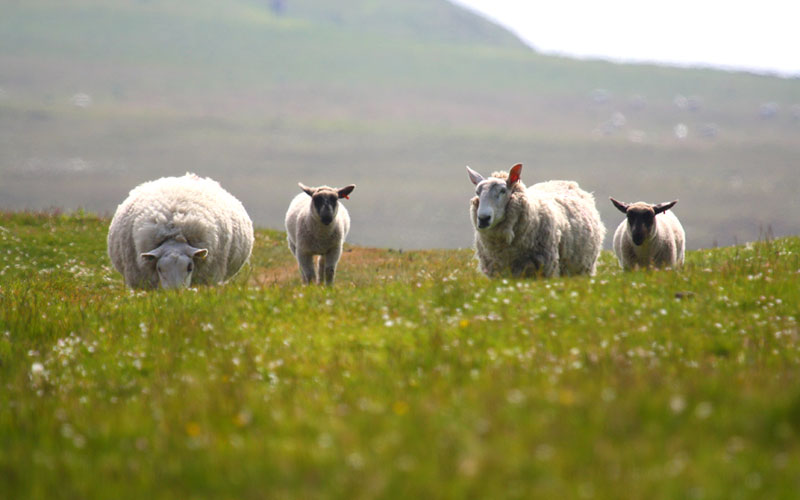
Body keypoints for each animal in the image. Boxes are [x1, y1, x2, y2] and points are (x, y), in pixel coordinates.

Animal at [467, 163, 605, 278]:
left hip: (584, 268)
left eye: (503, 191)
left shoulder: (546, 268)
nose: (483, 219)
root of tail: (564, 182)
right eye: (477, 192)